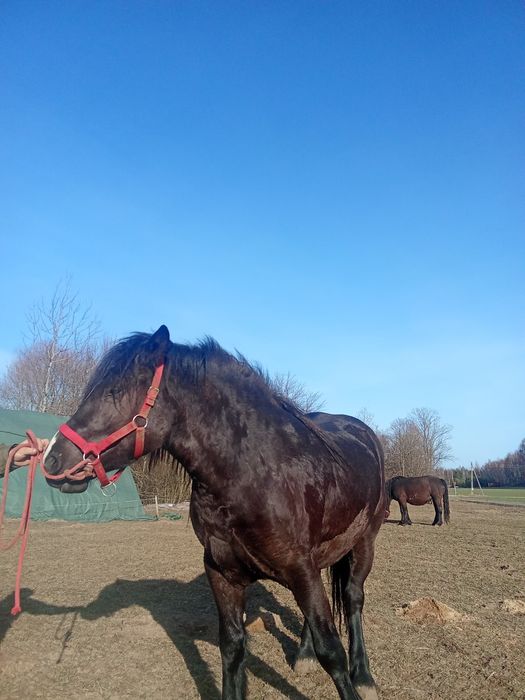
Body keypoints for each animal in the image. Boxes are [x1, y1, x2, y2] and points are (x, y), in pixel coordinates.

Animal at [43, 325, 385, 700]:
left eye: (114, 392)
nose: (52, 459)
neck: (253, 473)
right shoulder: (222, 571)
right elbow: (233, 647)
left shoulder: (300, 567)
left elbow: (331, 650)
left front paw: (350, 678)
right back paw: (304, 656)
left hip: (364, 543)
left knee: (353, 598)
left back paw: (364, 675)